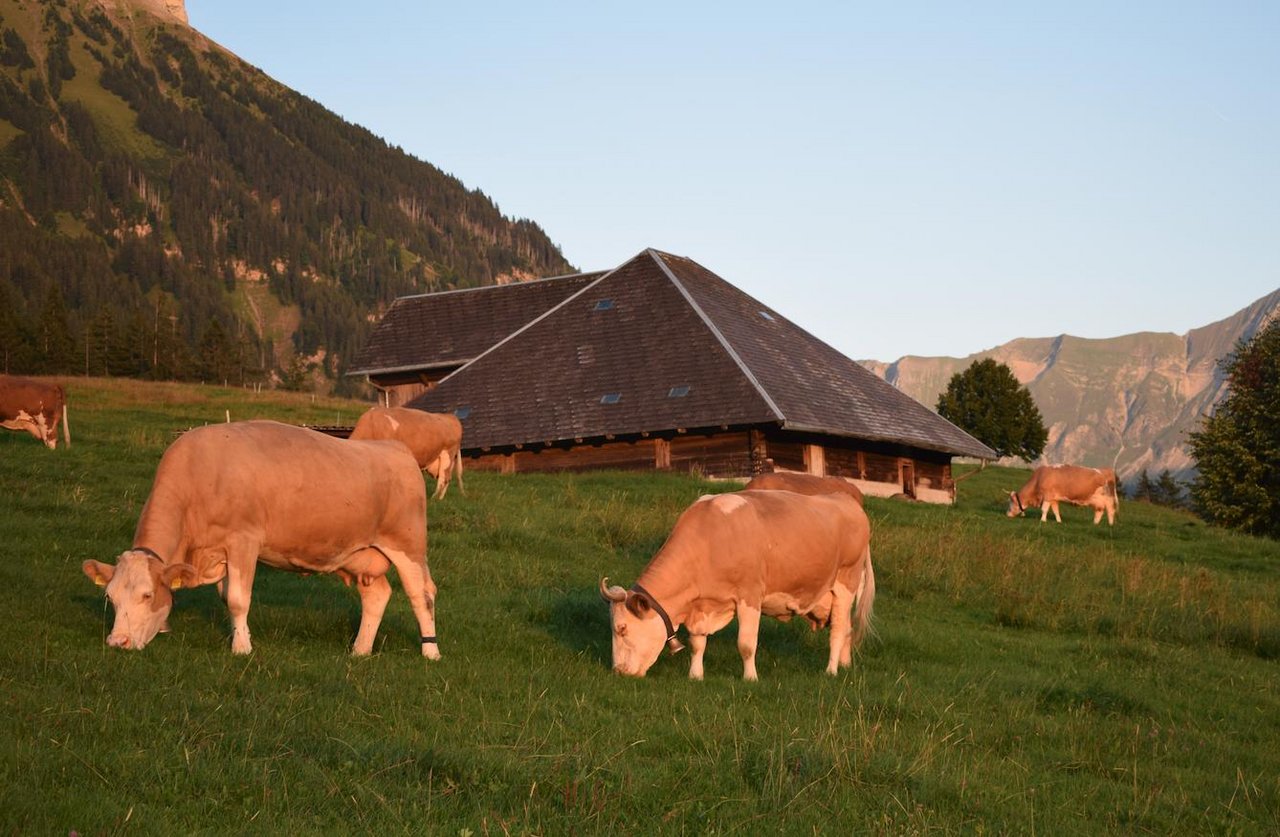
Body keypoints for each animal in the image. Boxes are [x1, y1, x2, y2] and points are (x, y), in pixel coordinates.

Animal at [81, 422, 440, 660]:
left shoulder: (244, 539)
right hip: (360, 554)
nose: (118, 643)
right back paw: (360, 650)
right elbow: (224, 597)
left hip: (408, 546)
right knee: (377, 595)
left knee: (421, 595)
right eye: (110, 597)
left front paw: (242, 648)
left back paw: (430, 651)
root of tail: (395, 448)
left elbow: (238, 599)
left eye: (146, 595)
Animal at [599, 491, 870, 680]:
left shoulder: (749, 596)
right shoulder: (702, 606)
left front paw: (750, 678)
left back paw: (831, 670)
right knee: (846, 628)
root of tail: (845, 499)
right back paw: (844, 664)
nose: (618, 671)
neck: (709, 541)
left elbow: (746, 644)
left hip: (846, 582)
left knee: (838, 631)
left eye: (621, 629)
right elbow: (697, 643)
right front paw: (695, 675)